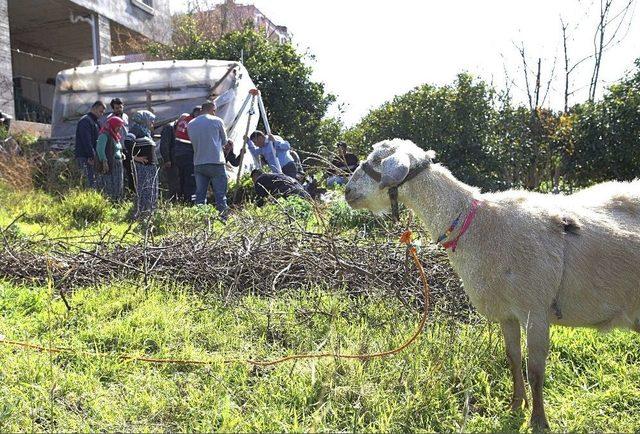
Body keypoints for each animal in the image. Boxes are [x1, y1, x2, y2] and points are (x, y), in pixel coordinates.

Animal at [344, 138, 640, 428]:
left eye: (376, 160)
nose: (347, 192)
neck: (476, 224)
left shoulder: (535, 309)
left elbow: (535, 369)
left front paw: (538, 421)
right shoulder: (506, 312)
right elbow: (513, 358)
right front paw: (516, 404)